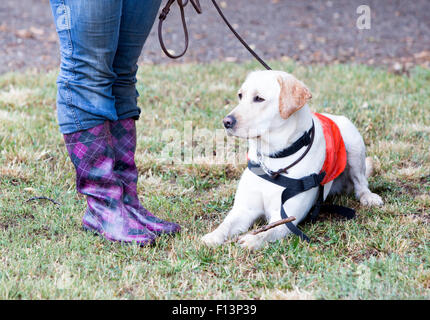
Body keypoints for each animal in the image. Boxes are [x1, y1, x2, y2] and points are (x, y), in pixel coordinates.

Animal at [202, 70, 382, 250]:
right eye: (240, 95)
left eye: (259, 98)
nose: (226, 122)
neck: (274, 159)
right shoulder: (244, 210)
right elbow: (225, 224)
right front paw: (212, 237)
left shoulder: (285, 219)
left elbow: (267, 232)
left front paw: (252, 240)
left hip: (353, 142)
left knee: (360, 181)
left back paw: (368, 197)